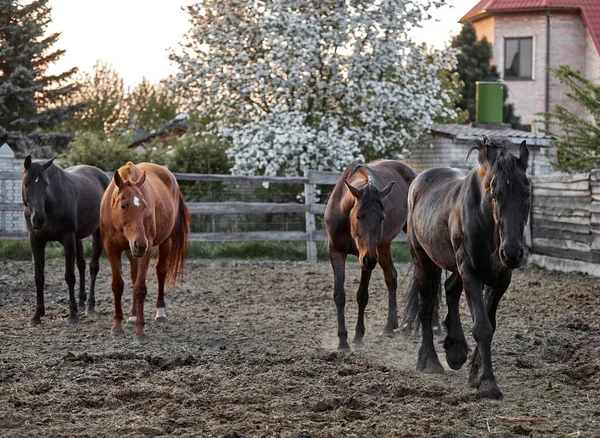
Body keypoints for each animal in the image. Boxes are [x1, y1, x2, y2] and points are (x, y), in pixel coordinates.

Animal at [21, 157, 110, 326]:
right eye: (26, 184)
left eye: (46, 184)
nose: (38, 219)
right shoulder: (36, 241)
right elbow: (39, 277)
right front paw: (37, 315)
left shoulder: (68, 238)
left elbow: (69, 276)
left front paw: (72, 315)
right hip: (78, 237)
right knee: (81, 265)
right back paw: (81, 304)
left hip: (98, 234)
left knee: (93, 267)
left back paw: (90, 306)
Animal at [100, 162, 190, 342]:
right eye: (123, 205)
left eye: (144, 206)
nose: (140, 243)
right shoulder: (111, 248)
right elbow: (118, 285)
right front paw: (117, 326)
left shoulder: (145, 251)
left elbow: (140, 288)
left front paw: (140, 331)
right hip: (132, 251)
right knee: (134, 276)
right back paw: (133, 315)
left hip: (165, 242)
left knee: (161, 272)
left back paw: (160, 313)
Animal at [324, 159, 418, 350]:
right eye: (359, 216)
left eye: (382, 217)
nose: (370, 259)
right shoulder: (337, 252)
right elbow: (339, 295)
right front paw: (342, 341)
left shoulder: (366, 259)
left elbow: (362, 295)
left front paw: (358, 337)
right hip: (382, 246)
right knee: (391, 277)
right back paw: (390, 326)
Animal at [404, 137, 528, 400]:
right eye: (494, 193)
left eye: (527, 193)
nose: (512, 252)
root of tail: (419, 181)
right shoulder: (471, 273)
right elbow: (482, 327)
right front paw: (488, 383)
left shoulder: (501, 279)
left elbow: (490, 324)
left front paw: (475, 374)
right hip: (422, 258)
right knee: (426, 307)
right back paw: (430, 361)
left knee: (450, 289)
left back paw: (455, 349)